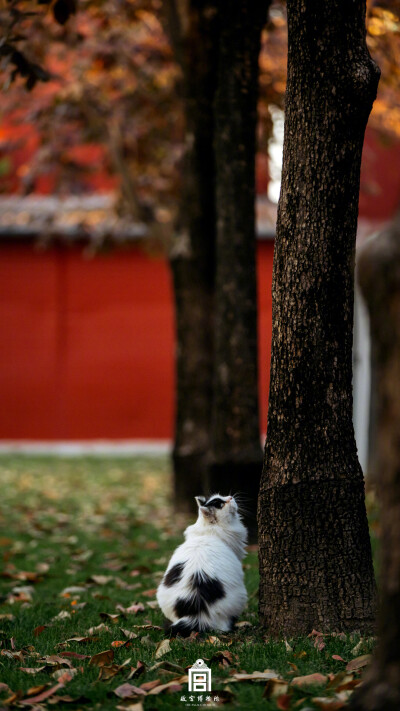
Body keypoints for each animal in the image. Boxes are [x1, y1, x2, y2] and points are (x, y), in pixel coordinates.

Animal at [156, 496, 247, 640]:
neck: (209, 533)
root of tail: (196, 613)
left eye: (221, 497)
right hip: (240, 597)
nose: (230, 497)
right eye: (220, 504)